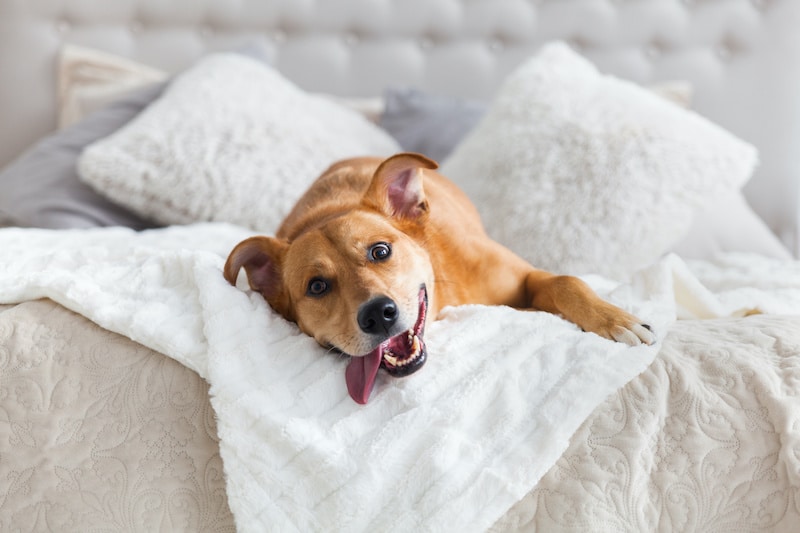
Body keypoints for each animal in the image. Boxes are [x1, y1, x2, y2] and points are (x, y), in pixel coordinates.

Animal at [222, 152, 652, 402]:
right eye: (317, 286)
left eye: (380, 251)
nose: (378, 315)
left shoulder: (528, 277)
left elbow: (566, 281)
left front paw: (615, 319)